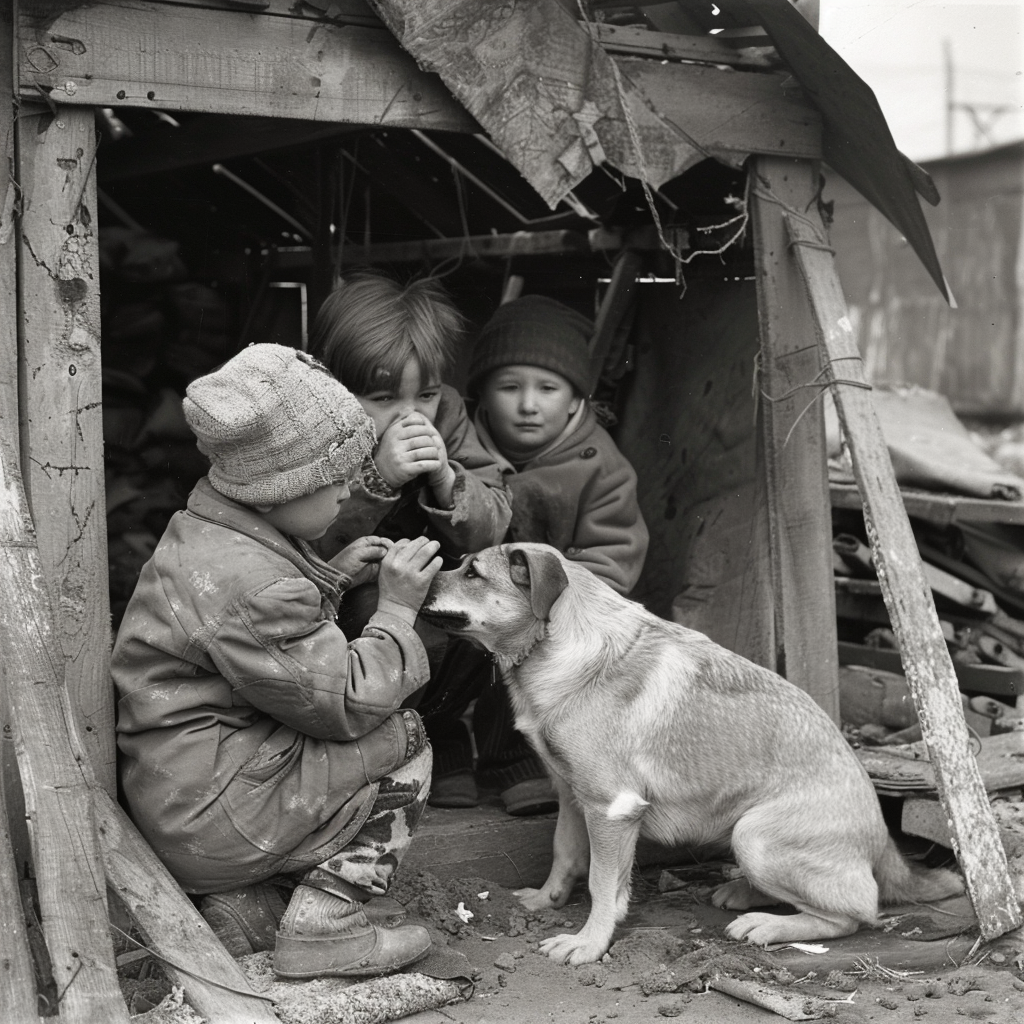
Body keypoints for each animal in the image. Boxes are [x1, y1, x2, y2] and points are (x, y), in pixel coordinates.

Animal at [417, 544, 966, 966]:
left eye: (471, 571)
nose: (414, 575)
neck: (557, 644)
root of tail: (884, 842)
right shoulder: (573, 797)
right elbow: (564, 854)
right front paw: (546, 901)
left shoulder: (612, 808)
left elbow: (602, 884)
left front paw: (589, 945)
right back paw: (743, 894)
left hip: (755, 837)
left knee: (856, 913)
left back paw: (766, 924)